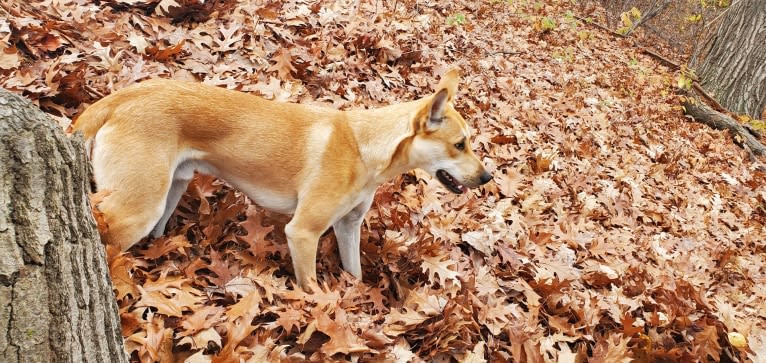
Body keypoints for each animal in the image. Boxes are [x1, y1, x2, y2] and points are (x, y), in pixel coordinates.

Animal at [73, 67, 492, 290]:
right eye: (460, 144)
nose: (487, 177)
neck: (365, 147)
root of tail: (120, 97)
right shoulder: (303, 233)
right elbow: (311, 288)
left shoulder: (347, 227)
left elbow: (354, 274)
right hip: (137, 209)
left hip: (169, 192)